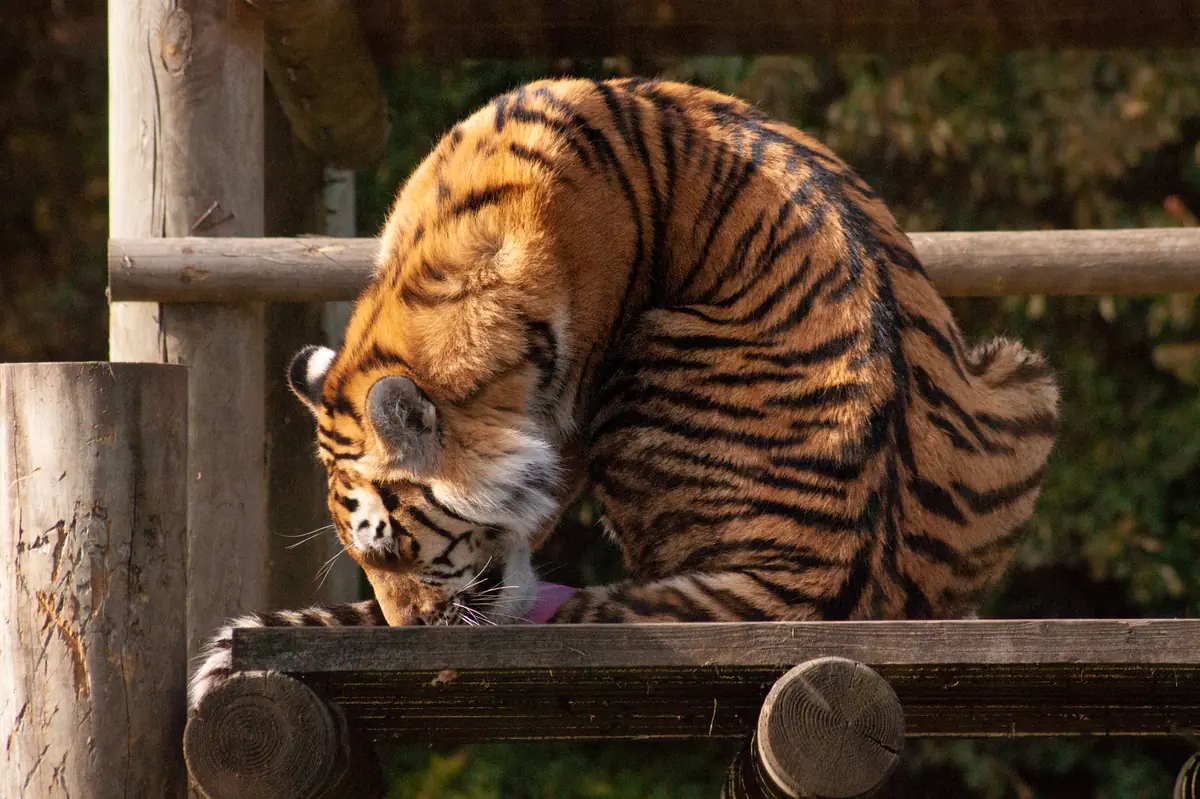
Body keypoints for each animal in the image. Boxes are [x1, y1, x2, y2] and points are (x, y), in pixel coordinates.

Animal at [189, 77, 1058, 709]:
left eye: (394, 547)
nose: (412, 633)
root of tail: (840, 579)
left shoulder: (575, 403)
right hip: (1023, 375)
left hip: (649, 343)